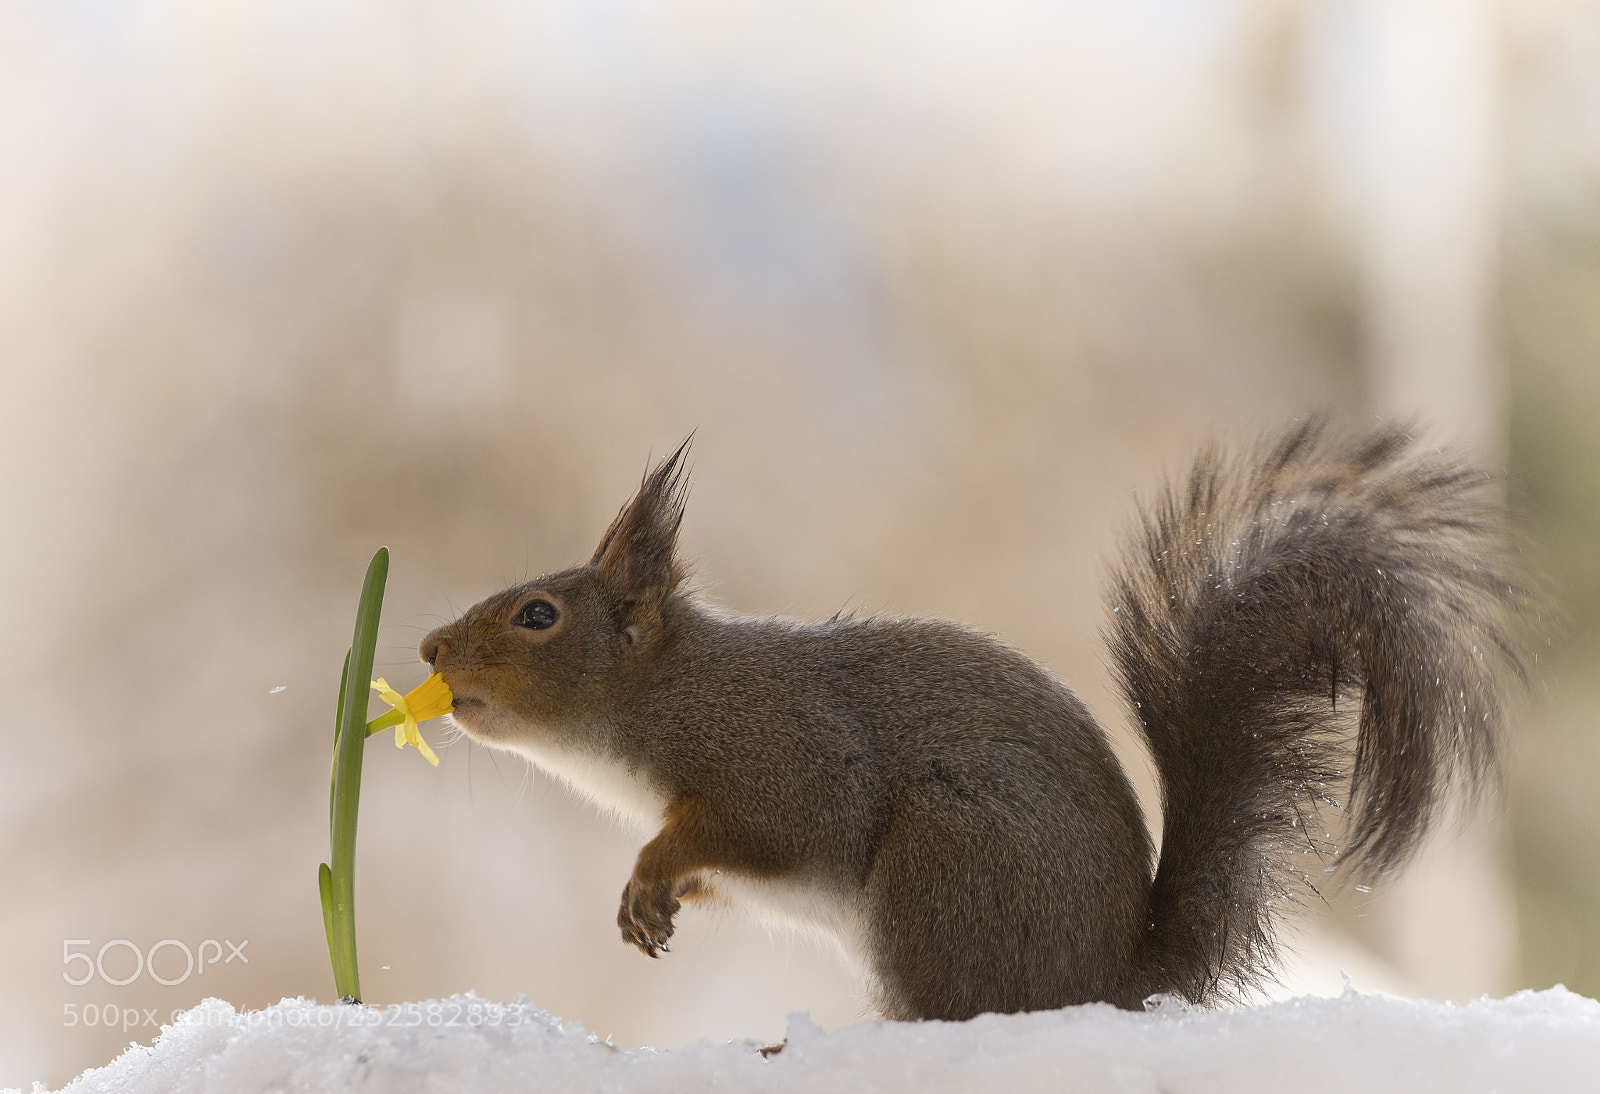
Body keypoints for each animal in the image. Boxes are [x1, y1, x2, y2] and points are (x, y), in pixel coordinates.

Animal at [419, 420, 1528, 1020]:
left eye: (537, 616)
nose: (428, 649)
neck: (663, 697)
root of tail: (1105, 980)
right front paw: (656, 899)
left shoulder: (782, 756)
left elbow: (773, 827)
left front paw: (653, 869)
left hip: (946, 864)